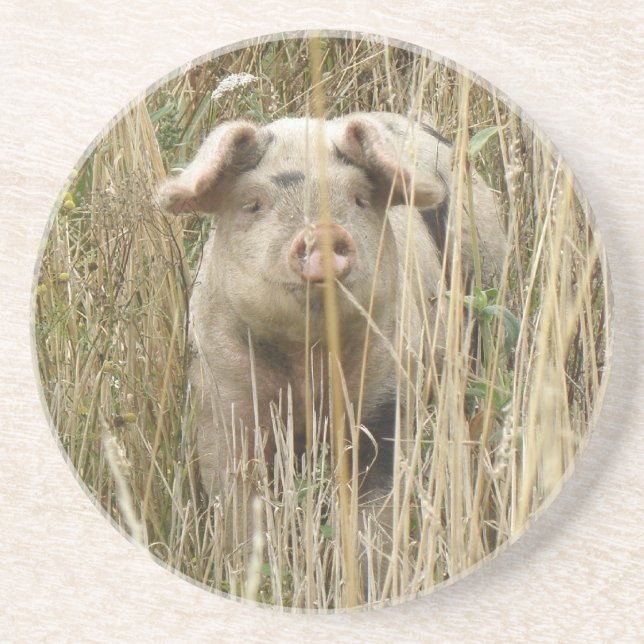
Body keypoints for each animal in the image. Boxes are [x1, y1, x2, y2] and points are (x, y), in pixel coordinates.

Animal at [157, 112, 505, 579]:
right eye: (253, 204)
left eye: (358, 199)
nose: (322, 231)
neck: (306, 361)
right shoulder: (220, 397)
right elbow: (238, 504)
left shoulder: (387, 393)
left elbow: (376, 512)